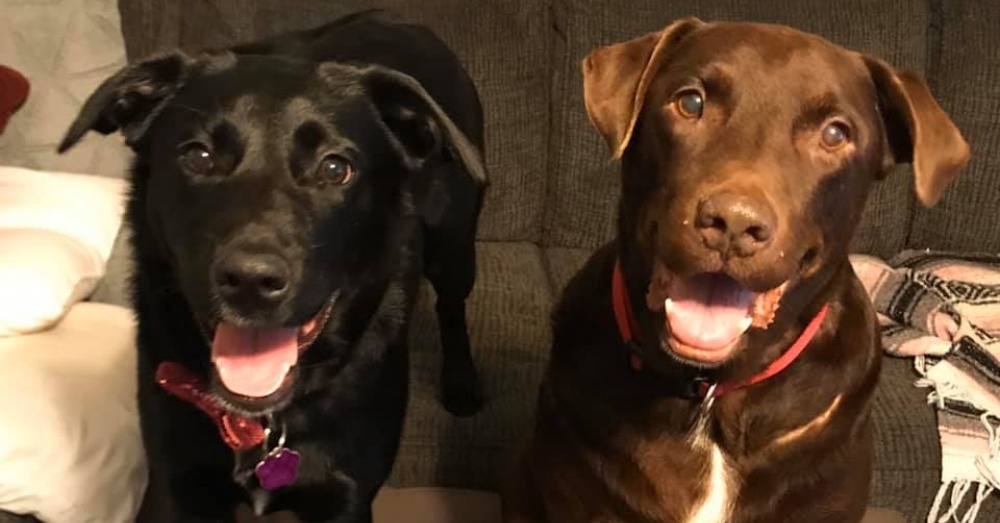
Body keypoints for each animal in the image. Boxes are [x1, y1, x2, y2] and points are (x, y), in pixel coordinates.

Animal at [58, 9, 488, 523]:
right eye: (198, 156)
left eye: (335, 168)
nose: (250, 281)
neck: (264, 422)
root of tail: (394, 17)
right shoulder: (180, 485)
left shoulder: (346, 498)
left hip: (455, 242)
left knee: (452, 304)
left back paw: (462, 382)